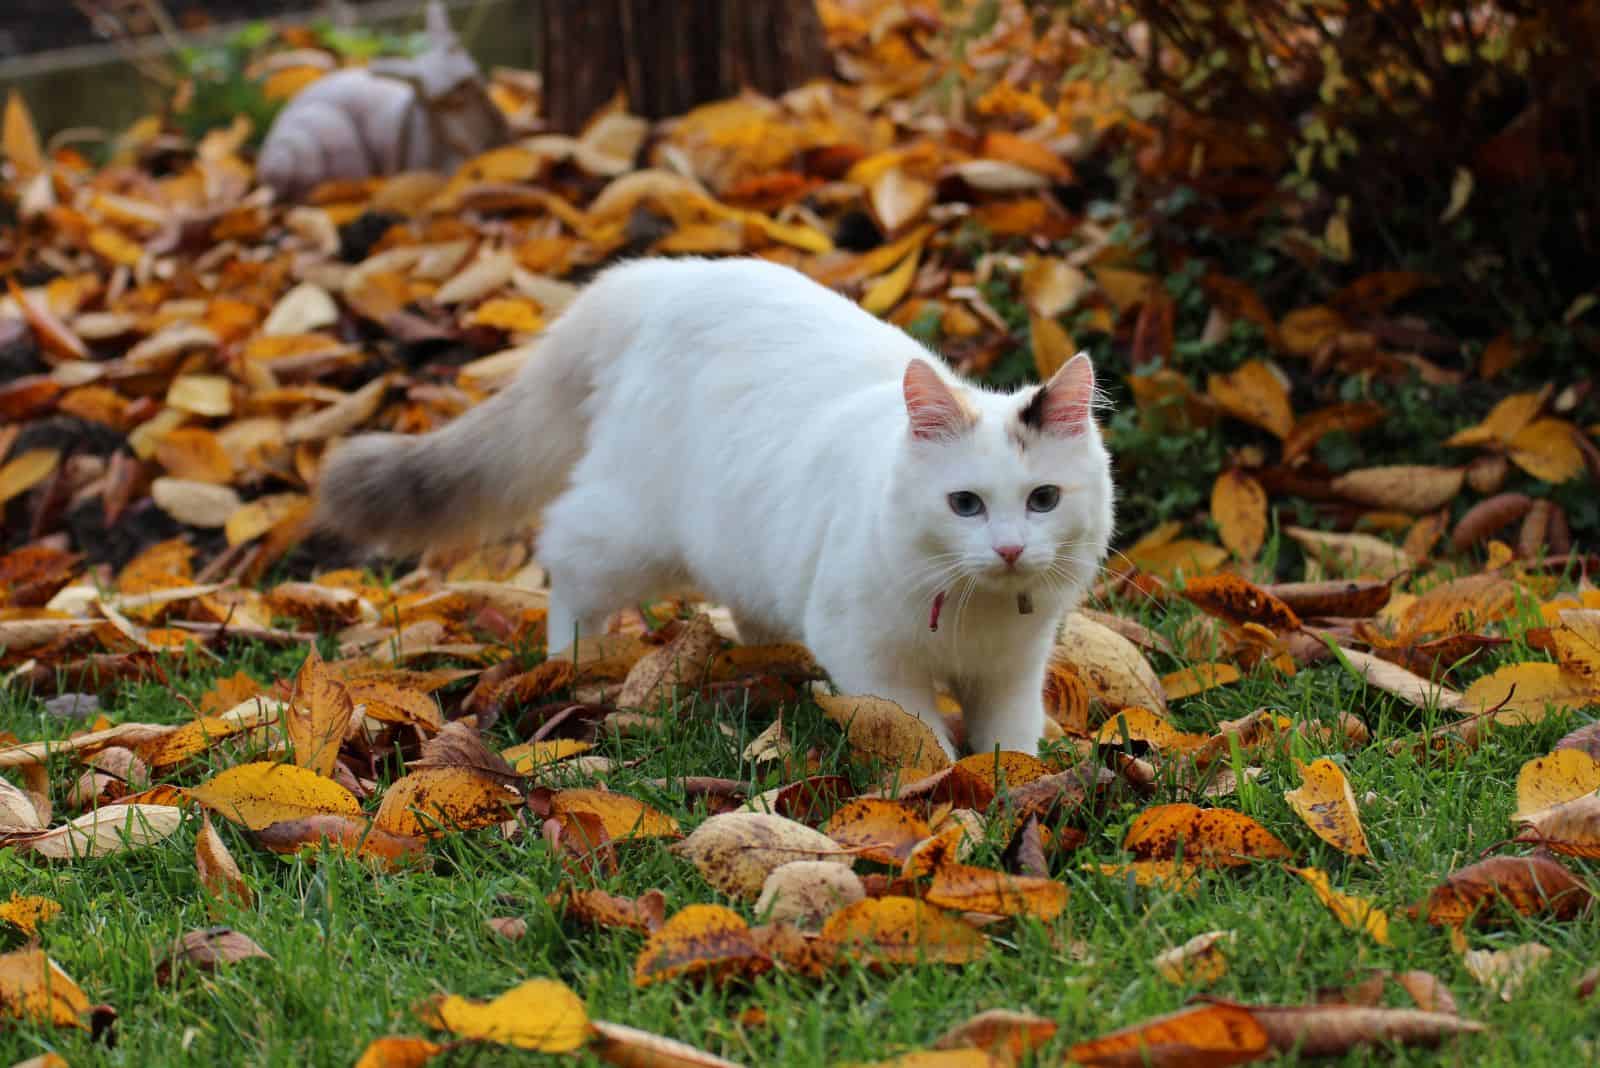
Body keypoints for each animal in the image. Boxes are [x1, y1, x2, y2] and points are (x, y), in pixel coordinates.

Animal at [312, 259, 1113, 754]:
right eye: (965, 504)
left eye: (1042, 500)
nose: (1009, 550)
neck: (975, 615)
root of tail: (662, 277)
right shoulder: (874, 658)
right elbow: (922, 739)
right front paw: (948, 792)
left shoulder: (1011, 672)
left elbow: (1008, 744)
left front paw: (1006, 789)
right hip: (631, 531)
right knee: (565, 560)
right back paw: (570, 661)